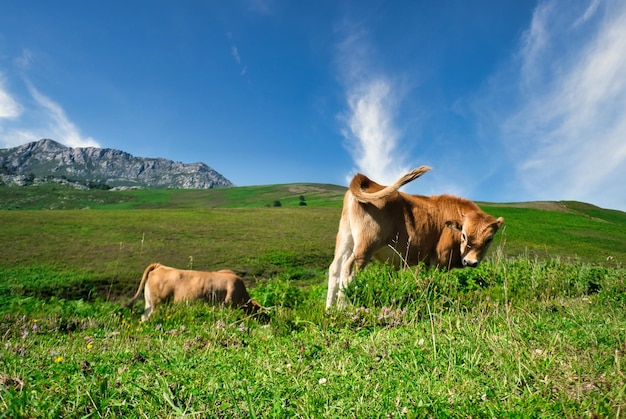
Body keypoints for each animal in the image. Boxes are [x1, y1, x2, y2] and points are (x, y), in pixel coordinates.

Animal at [326, 167, 502, 308]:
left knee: (334, 268)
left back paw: (329, 309)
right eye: (464, 235)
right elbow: (435, 281)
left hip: (345, 238)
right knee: (348, 271)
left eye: (489, 240)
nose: (471, 262)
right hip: (366, 244)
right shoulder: (440, 259)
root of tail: (368, 182)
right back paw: (342, 309)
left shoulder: (425, 260)